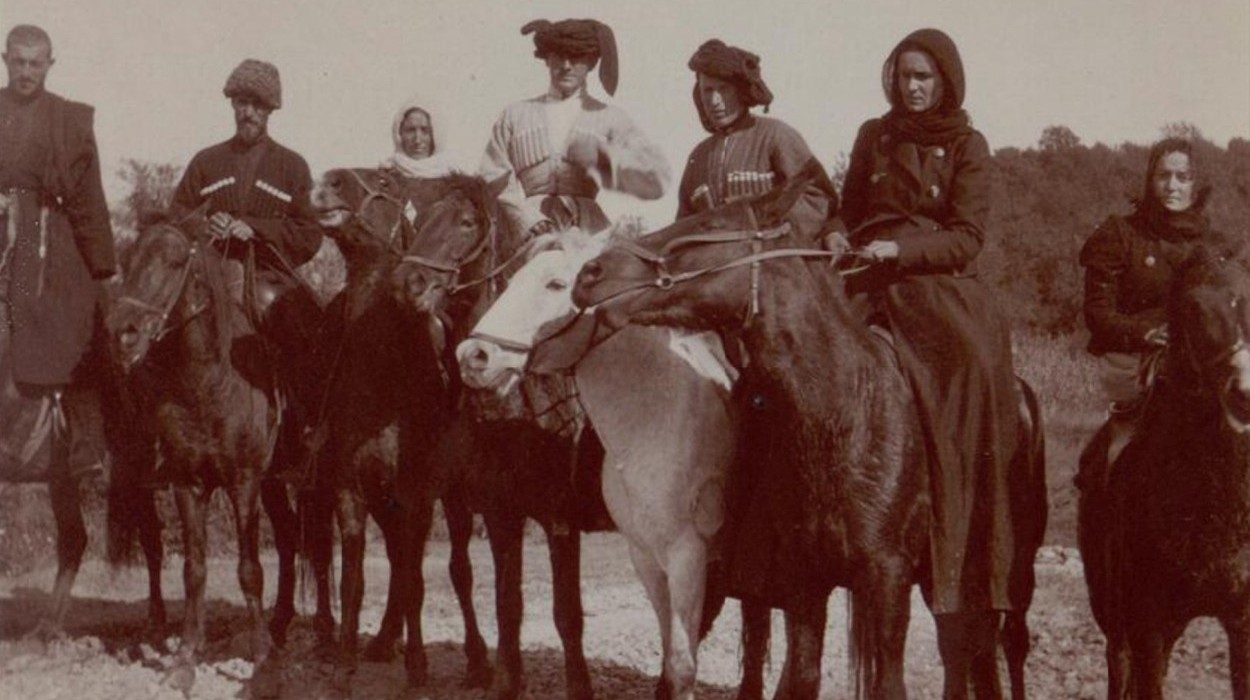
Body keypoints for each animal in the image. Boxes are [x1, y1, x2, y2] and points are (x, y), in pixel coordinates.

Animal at [106, 212, 303, 690]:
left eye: (177, 262)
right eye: (128, 259)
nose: (123, 333)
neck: (207, 383)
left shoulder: (243, 483)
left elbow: (249, 569)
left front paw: (261, 657)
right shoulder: (187, 484)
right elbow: (193, 570)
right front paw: (185, 658)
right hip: (271, 484)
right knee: (289, 537)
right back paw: (281, 622)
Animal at [385, 180, 610, 700]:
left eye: (466, 223)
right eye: (420, 219)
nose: (407, 284)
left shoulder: (558, 519)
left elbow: (567, 614)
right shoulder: (499, 512)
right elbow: (508, 604)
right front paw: (506, 679)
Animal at [455, 231, 735, 700]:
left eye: (554, 284)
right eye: (510, 280)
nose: (474, 355)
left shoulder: (682, 552)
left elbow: (676, 659)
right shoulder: (640, 552)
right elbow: (508, 604)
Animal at [572, 170, 1045, 700]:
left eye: (708, 224)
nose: (590, 274)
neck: (848, 414)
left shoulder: (887, 576)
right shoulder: (803, 581)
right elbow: (799, 675)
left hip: (1001, 574)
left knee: (997, 644)